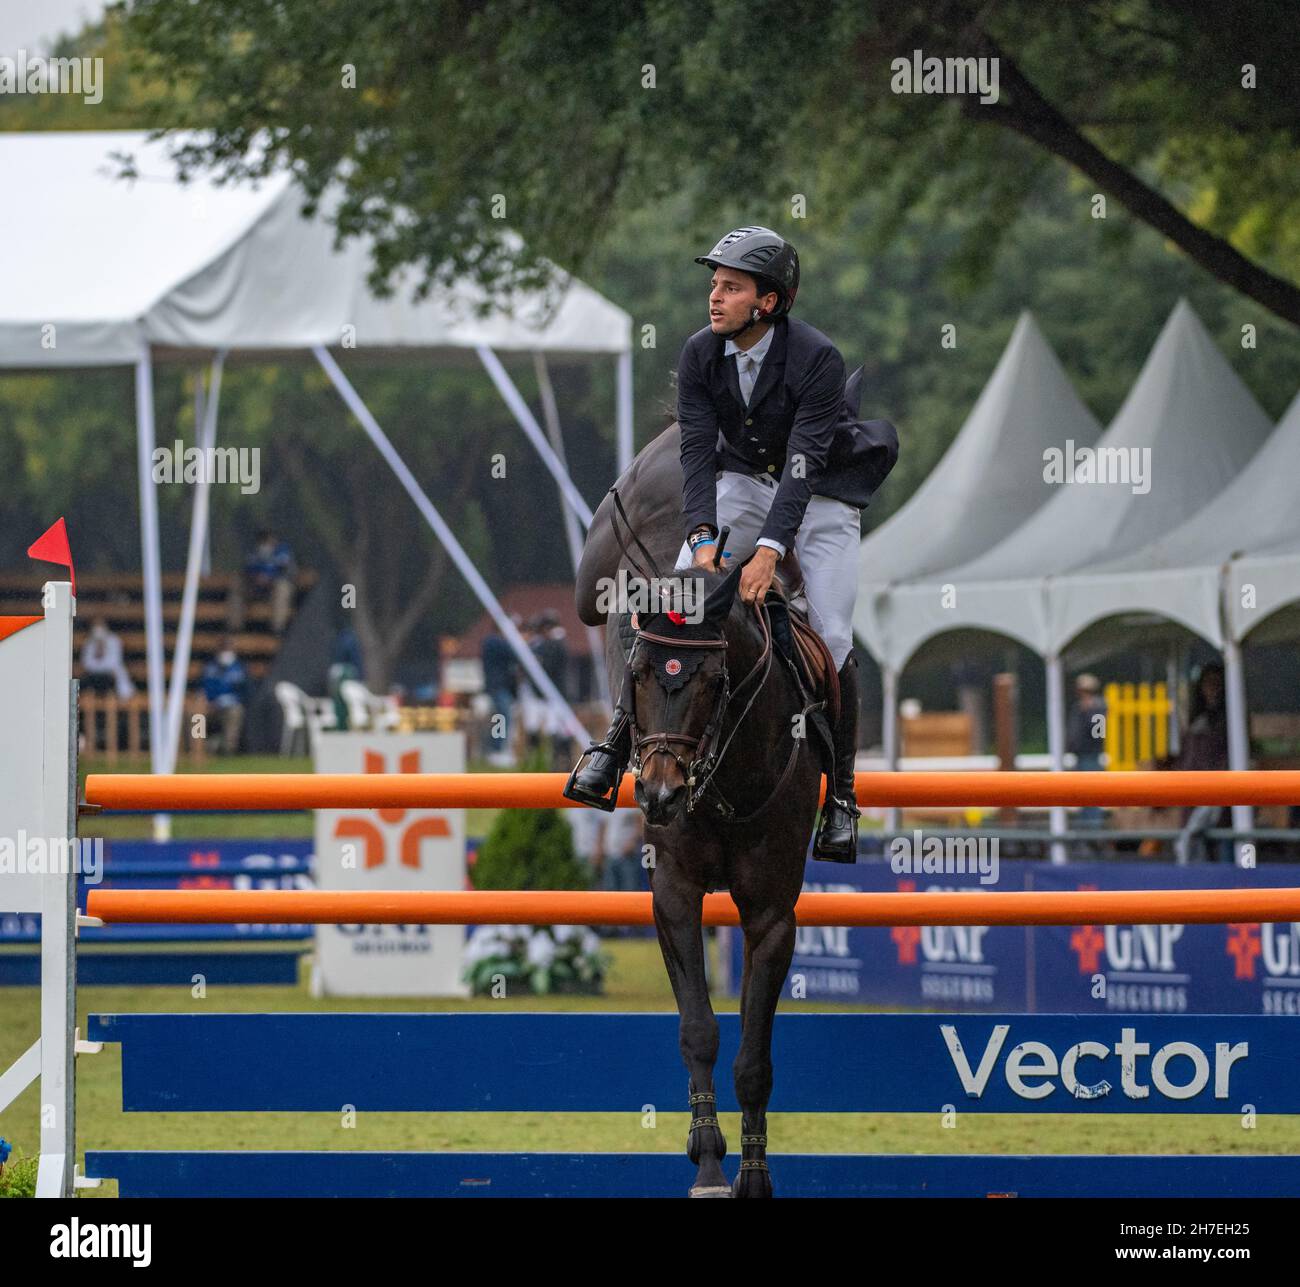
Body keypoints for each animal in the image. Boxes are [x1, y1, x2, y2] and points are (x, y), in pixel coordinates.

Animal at [579, 423, 821, 1201]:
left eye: (715, 679)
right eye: (637, 674)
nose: (657, 795)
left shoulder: (772, 913)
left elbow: (753, 1057)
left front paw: (752, 1173)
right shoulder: (676, 893)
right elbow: (699, 1030)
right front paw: (709, 1161)